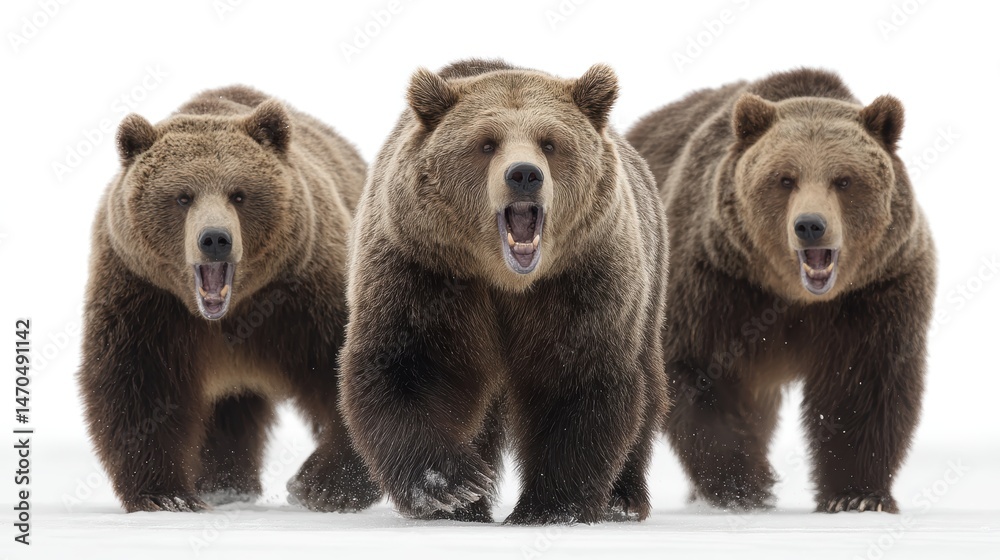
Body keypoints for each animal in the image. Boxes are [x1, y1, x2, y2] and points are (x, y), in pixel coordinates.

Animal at [78, 85, 382, 513]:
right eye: (182, 196)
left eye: (239, 194)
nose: (215, 239)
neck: (228, 314)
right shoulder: (145, 298)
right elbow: (139, 387)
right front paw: (167, 495)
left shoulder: (305, 298)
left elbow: (349, 369)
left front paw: (322, 486)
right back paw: (223, 485)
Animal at [339, 59, 669, 525]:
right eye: (486, 143)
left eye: (550, 142)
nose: (524, 175)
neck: (504, 279)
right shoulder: (423, 271)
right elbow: (406, 367)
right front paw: (454, 487)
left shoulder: (580, 279)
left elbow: (579, 378)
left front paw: (549, 507)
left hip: (649, 283)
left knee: (648, 386)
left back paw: (622, 499)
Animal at [626, 68, 936, 513]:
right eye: (785, 178)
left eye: (844, 179)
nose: (810, 225)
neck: (794, 295)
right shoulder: (717, 283)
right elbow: (704, 375)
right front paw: (743, 487)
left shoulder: (876, 291)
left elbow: (863, 386)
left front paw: (857, 495)